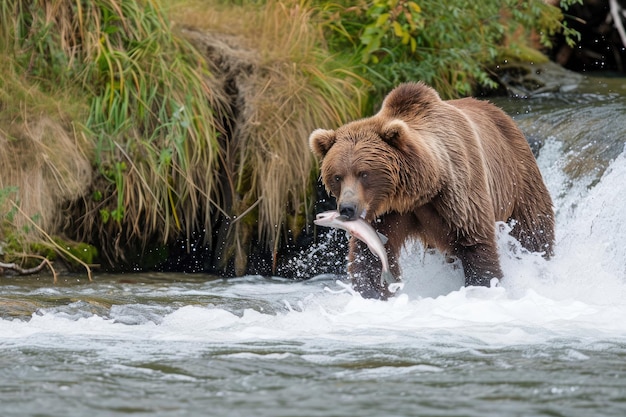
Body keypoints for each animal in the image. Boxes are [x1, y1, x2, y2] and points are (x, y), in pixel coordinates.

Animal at [308, 80, 552, 300]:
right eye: (337, 176)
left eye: (364, 173)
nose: (347, 209)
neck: (417, 192)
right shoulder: (386, 214)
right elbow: (370, 255)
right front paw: (372, 293)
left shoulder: (456, 195)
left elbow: (476, 243)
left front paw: (483, 287)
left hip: (518, 179)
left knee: (533, 231)